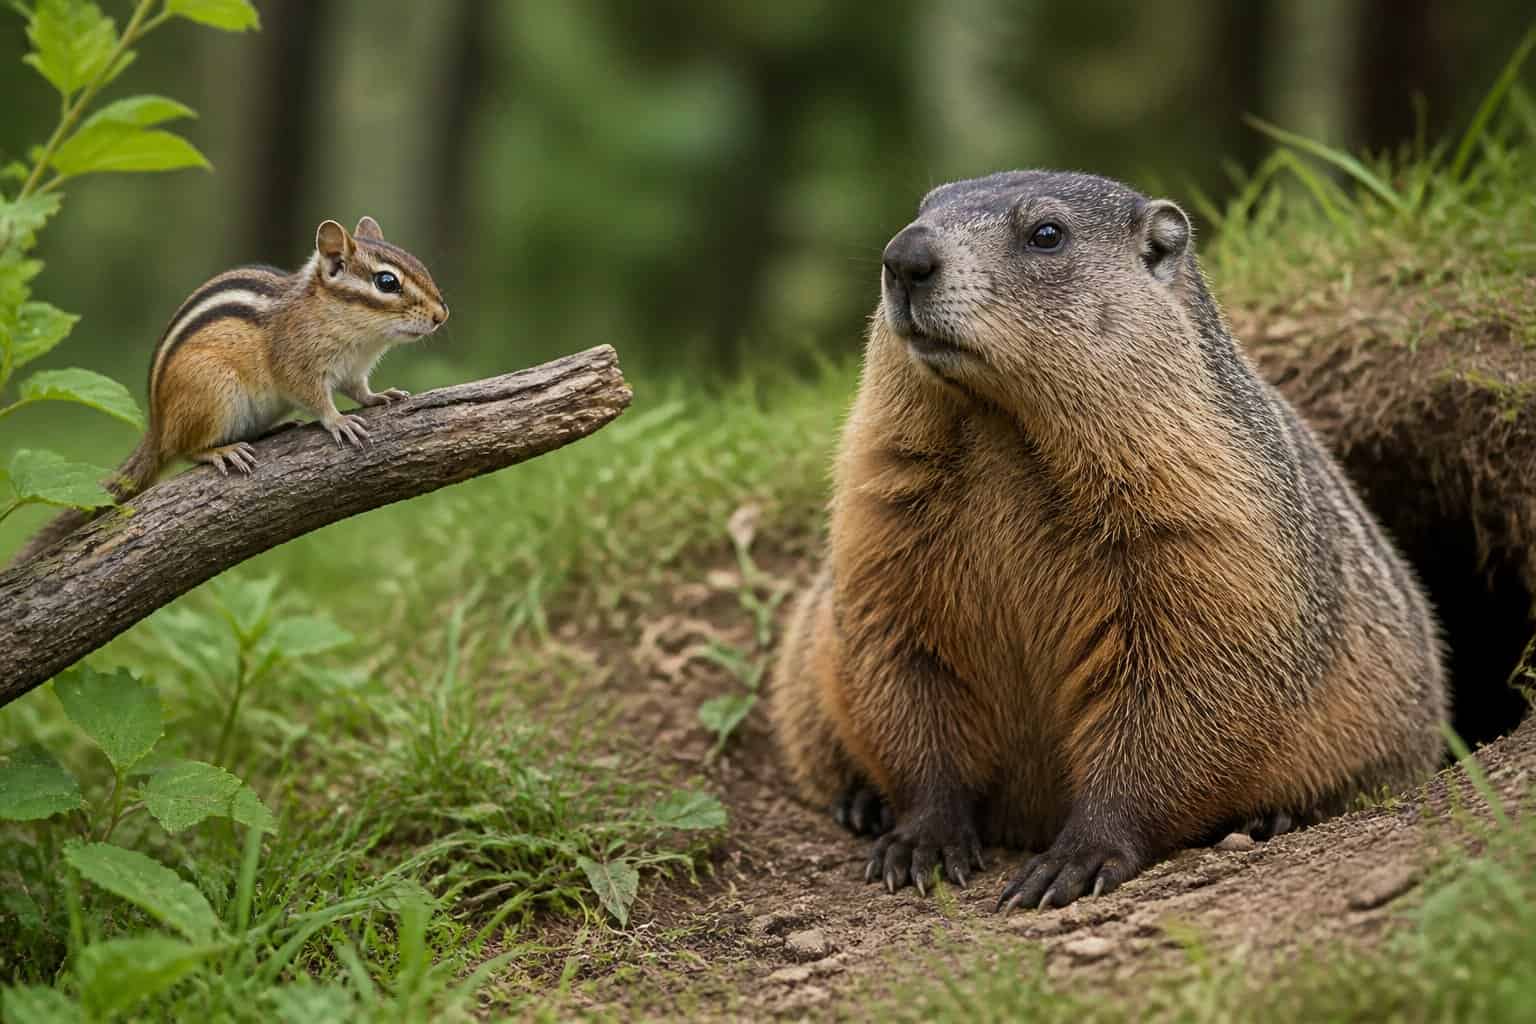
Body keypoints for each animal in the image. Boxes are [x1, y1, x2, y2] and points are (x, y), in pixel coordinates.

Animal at [12, 216, 448, 564]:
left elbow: (360, 391)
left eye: (420, 266)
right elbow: (315, 397)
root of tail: (157, 425)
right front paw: (338, 421)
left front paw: (381, 397)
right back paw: (221, 450)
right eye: (386, 282)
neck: (355, 332)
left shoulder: (354, 371)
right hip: (214, 392)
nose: (442, 315)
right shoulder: (298, 365)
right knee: (186, 449)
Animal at [769, 171, 1448, 911]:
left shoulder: (1203, 515)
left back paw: (1274, 815)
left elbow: (1183, 674)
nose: (903, 257)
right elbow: (901, 650)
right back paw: (861, 802)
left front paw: (1075, 858)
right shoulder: (883, 508)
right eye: (923, 207)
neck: (999, 432)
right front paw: (922, 839)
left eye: (1046, 234)